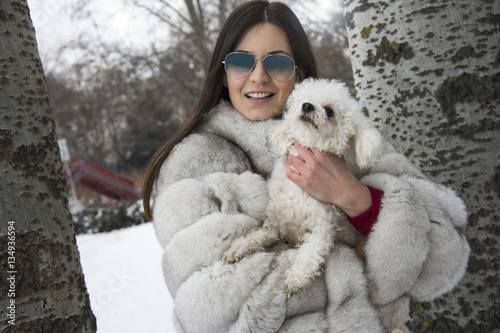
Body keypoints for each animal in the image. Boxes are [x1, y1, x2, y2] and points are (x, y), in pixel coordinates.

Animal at [223, 78, 382, 296]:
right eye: (303, 100)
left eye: (330, 111)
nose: (307, 106)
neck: (296, 192)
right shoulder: (275, 227)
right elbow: (257, 236)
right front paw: (239, 247)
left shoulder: (322, 229)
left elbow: (310, 254)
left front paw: (296, 278)